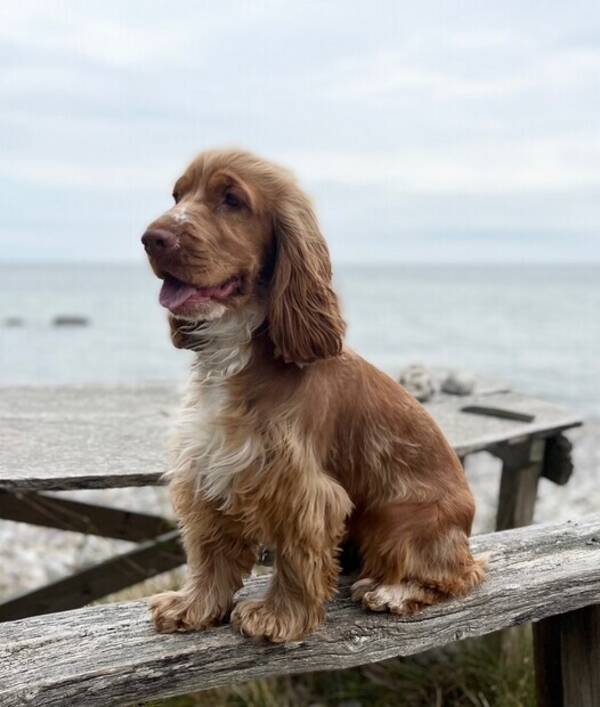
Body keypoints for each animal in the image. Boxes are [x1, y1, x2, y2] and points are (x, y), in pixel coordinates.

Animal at [143, 148, 486, 640]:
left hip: (399, 518)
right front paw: (193, 605)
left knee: (459, 573)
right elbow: (211, 550)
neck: (241, 348)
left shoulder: (300, 486)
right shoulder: (207, 466)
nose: (151, 239)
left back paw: (390, 591)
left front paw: (277, 616)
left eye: (232, 200)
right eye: (178, 195)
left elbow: (296, 557)